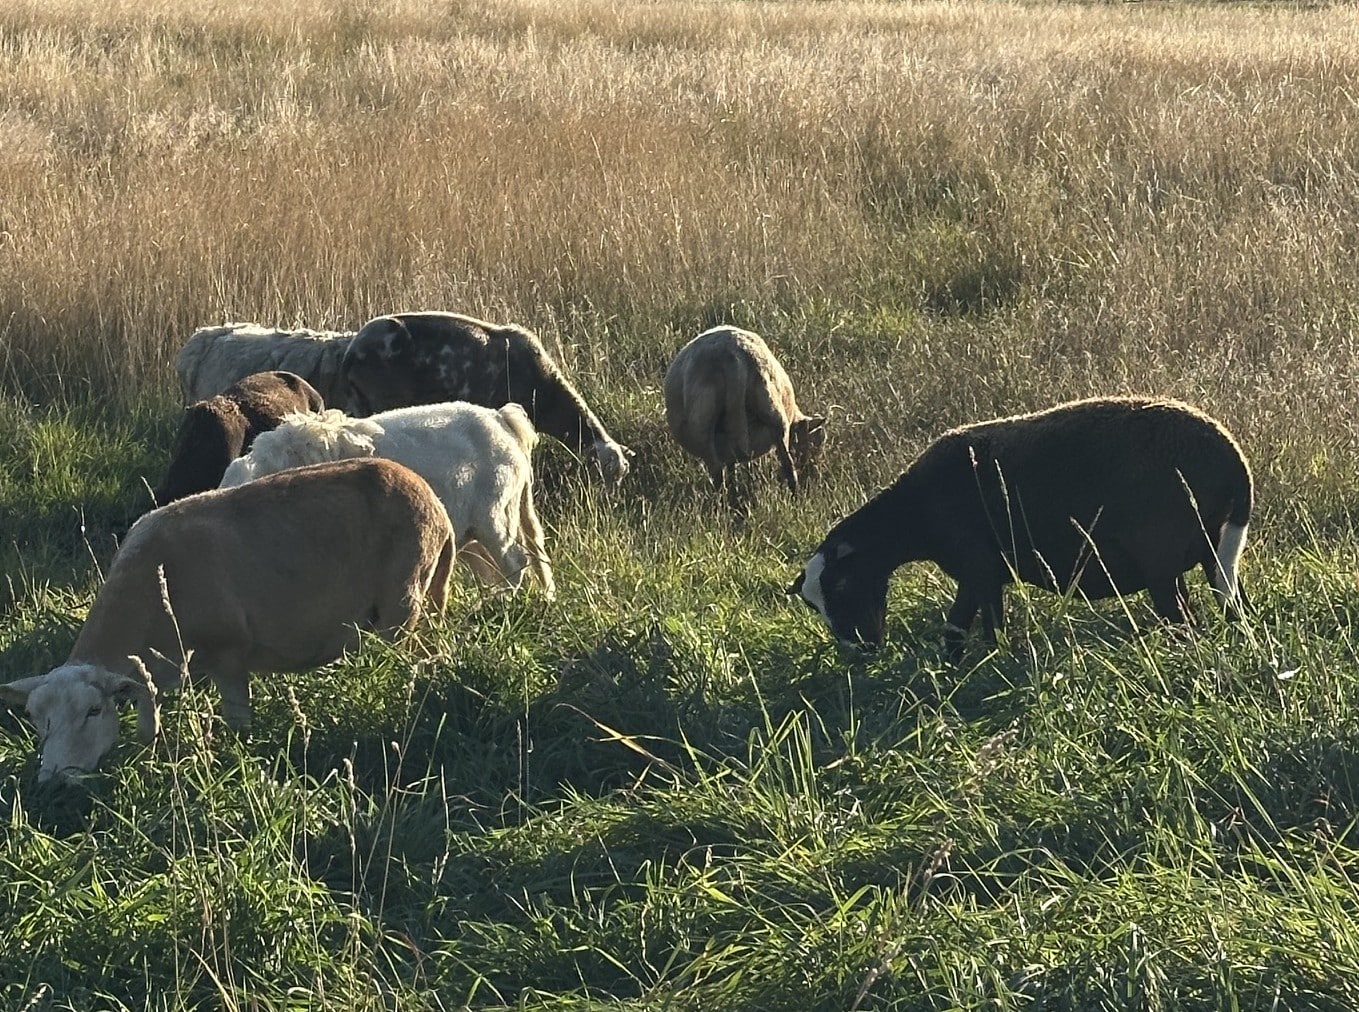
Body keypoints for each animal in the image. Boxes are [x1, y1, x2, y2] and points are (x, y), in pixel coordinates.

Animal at [0, 458, 455, 783]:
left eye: (94, 711)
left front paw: (239, 761)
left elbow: (238, 723)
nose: (52, 780)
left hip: (401, 603)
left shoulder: (230, 655)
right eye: (36, 720)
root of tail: (435, 501)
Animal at [339, 311, 632, 483]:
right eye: (604, 473)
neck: (548, 395)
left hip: (360, 401)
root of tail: (354, 349)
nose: (609, 501)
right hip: (381, 399)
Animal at [664, 326, 826, 501]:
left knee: (717, 471)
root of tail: (732, 357)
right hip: (771, 410)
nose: (811, 473)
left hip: (702, 423)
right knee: (787, 466)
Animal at [790, 396, 1252, 657]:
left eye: (842, 586)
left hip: (1162, 559)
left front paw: (986, 664)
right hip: (1213, 551)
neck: (915, 513)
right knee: (1233, 607)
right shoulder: (979, 572)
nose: (859, 652)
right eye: (814, 605)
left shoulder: (979, 566)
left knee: (1183, 621)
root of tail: (1233, 460)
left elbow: (983, 627)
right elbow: (960, 626)